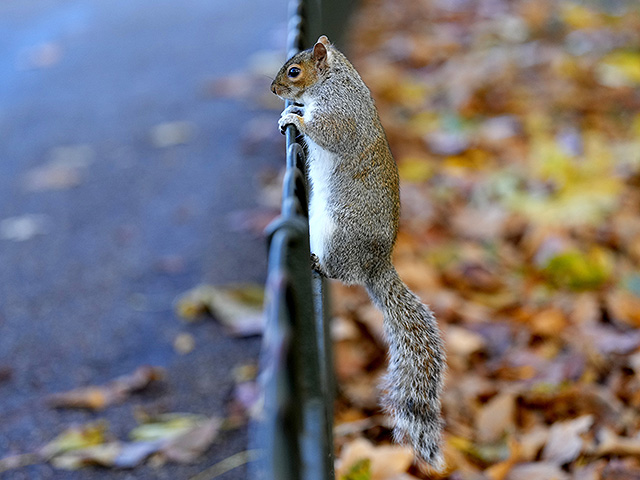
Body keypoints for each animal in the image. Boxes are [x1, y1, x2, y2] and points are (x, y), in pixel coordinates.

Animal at [270, 35, 444, 470]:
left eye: (294, 72)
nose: (274, 90)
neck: (334, 79)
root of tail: (376, 264)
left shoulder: (341, 113)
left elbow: (327, 131)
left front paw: (296, 119)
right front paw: (290, 112)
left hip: (339, 233)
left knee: (342, 273)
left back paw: (318, 263)